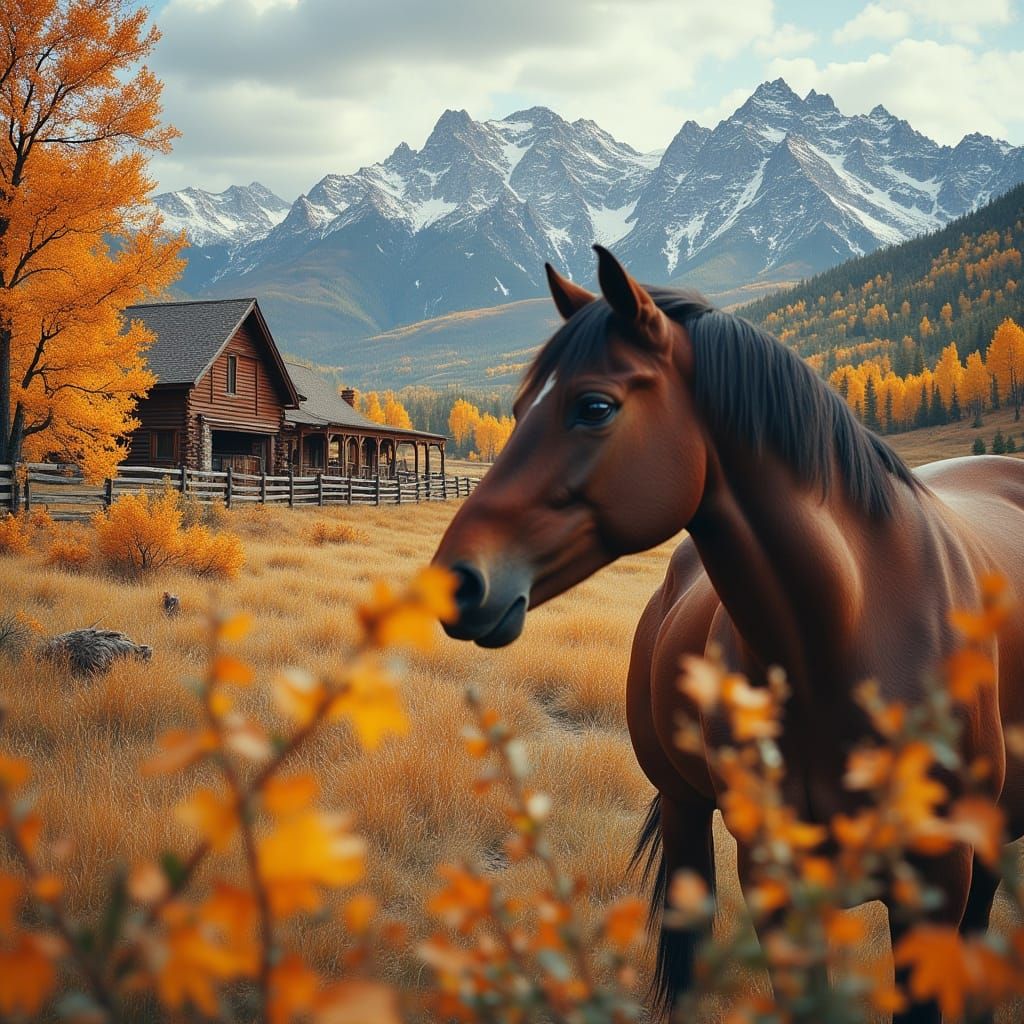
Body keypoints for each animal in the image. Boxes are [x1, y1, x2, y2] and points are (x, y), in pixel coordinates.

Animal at [430, 245, 1024, 1023]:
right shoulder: (774, 873)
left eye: (594, 407)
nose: (458, 584)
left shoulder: (937, 882)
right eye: (520, 408)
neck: (848, 633)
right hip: (687, 815)